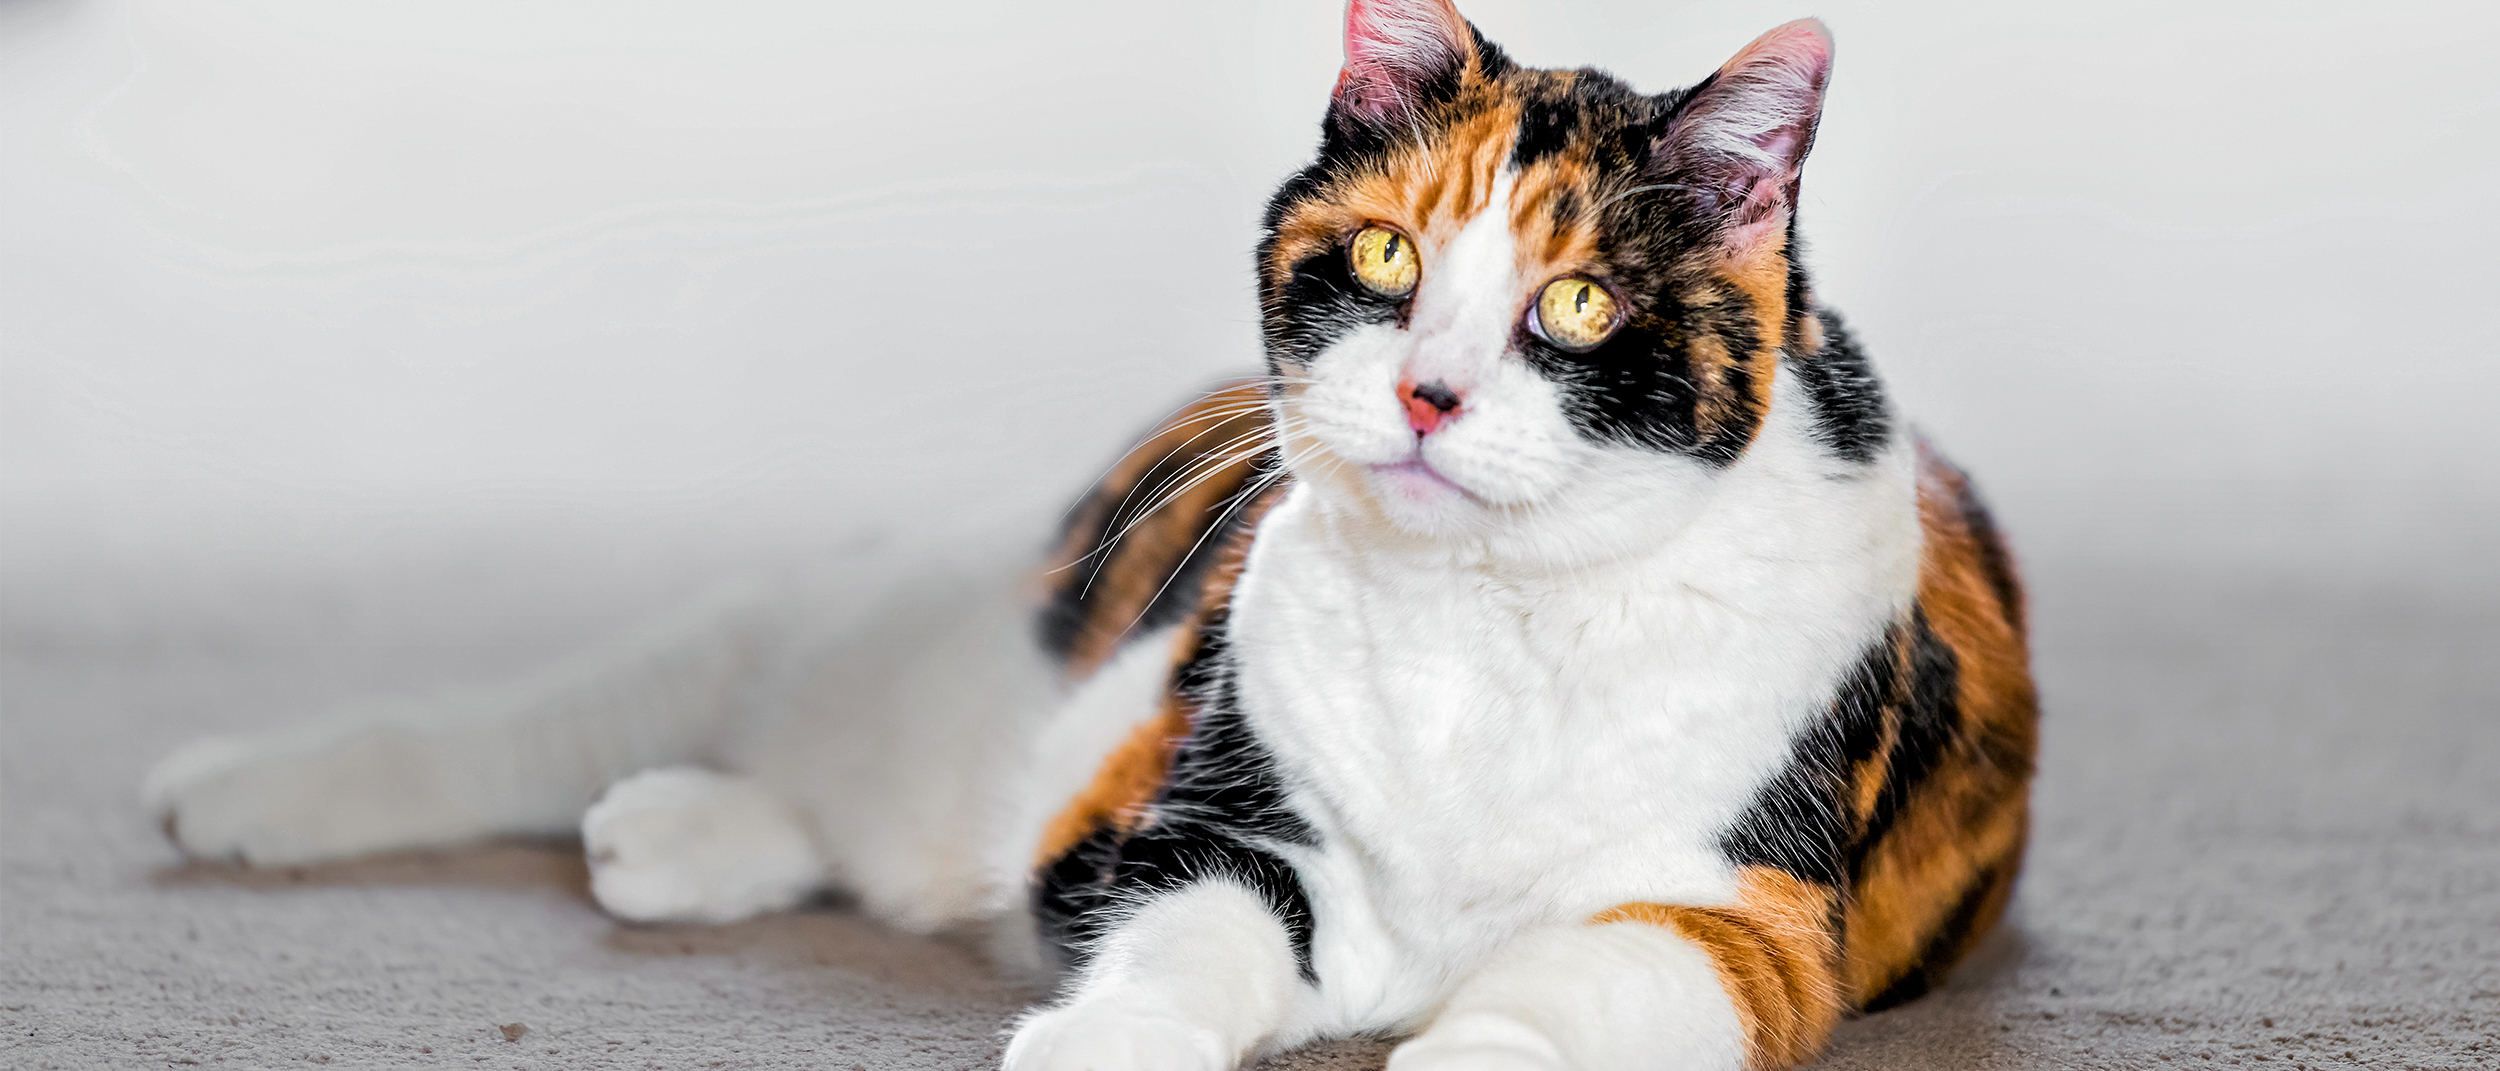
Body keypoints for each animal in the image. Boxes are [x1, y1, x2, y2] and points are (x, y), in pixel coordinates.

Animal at [141, 4, 2030, 1065]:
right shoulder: (1218, 824)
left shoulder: (1741, 921)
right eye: (1391, 257)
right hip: (888, 629)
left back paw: (676, 835)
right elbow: (1184, 935)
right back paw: (237, 797)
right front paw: (1099, 1041)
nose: (1424, 395)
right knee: (553, 715)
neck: (1485, 627)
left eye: (1575, 301)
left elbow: (1560, 992)